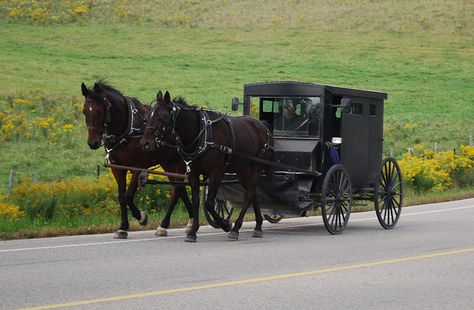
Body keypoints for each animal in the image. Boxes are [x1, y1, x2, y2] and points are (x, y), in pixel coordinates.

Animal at [81, 81, 193, 239]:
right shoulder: (117, 167)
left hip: (181, 163)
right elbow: (121, 196)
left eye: (100, 110)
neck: (128, 128)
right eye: (85, 111)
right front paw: (122, 228)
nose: (93, 143)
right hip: (169, 163)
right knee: (180, 189)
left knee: (177, 190)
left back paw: (165, 225)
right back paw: (189, 221)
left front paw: (141, 217)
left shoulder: (139, 166)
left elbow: (128, 196)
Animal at [140, 91, 274, 241]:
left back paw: (236, 229)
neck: (202, 134)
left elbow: (209, 203)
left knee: (249, 193)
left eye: (164, 116)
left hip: (257, 165)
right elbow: (195, 201)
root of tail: (262, 126)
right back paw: (258, 226)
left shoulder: (216, 173)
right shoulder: (193, 173)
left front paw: (225, 224)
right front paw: (193, 231)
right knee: (252, 193)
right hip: (243, 169)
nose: (145, 143)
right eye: (147, 116)